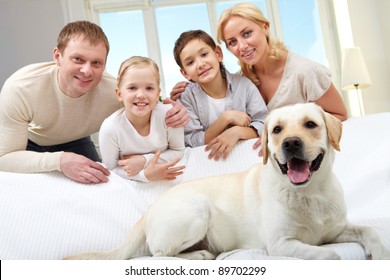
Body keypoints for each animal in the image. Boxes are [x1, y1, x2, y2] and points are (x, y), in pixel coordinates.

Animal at [65, 103, 388, 260]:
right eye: (277, 129)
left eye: (311, 124)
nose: (291, 143)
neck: (311, 193)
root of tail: (149, 210)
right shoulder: (281, 244)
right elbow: (331, 256)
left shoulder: (335, 230)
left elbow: (369, 231)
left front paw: (379, 254)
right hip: (198, 208)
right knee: (162, 254)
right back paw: (200, 254)